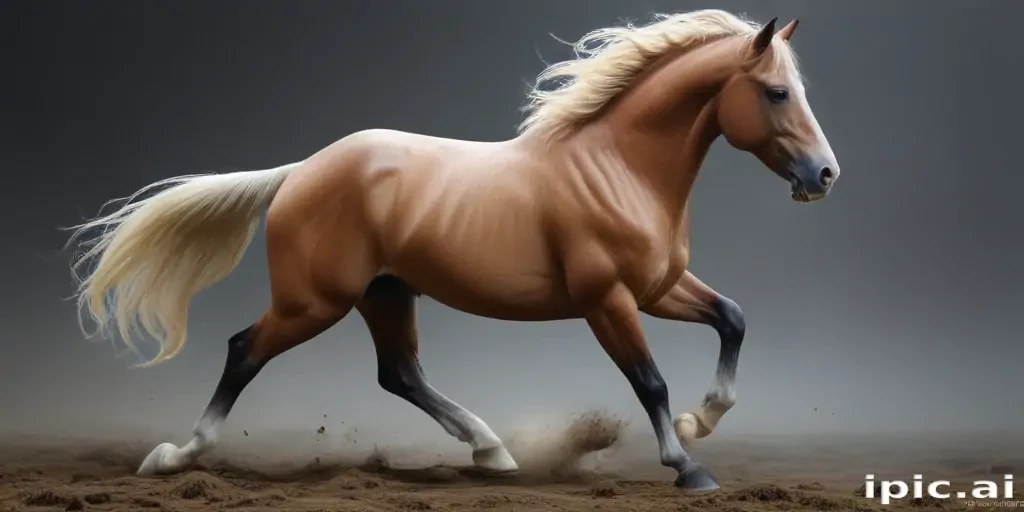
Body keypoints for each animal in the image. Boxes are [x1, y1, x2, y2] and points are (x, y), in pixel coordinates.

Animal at [66, 9, 839, 491]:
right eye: (776, 93)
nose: (825, 176)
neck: (618, 168)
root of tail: (302, 171)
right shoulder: (608, 300)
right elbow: (648, 381)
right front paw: (688, 464)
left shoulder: (657, 288)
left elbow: (733, 318)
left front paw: (701, 420)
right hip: (314, 301)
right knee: (244, 351)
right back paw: (176, 455)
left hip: (385, 293)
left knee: (400, 373)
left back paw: (493, 452)